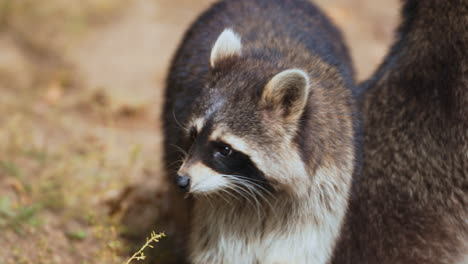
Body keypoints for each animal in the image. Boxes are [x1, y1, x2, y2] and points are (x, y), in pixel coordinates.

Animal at [163, 1, 356, 262]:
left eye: (225, 149)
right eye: (194, 135)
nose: (181, 180)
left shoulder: (323, 187)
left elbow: (299, 248)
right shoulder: (216, 209)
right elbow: (218, 250)